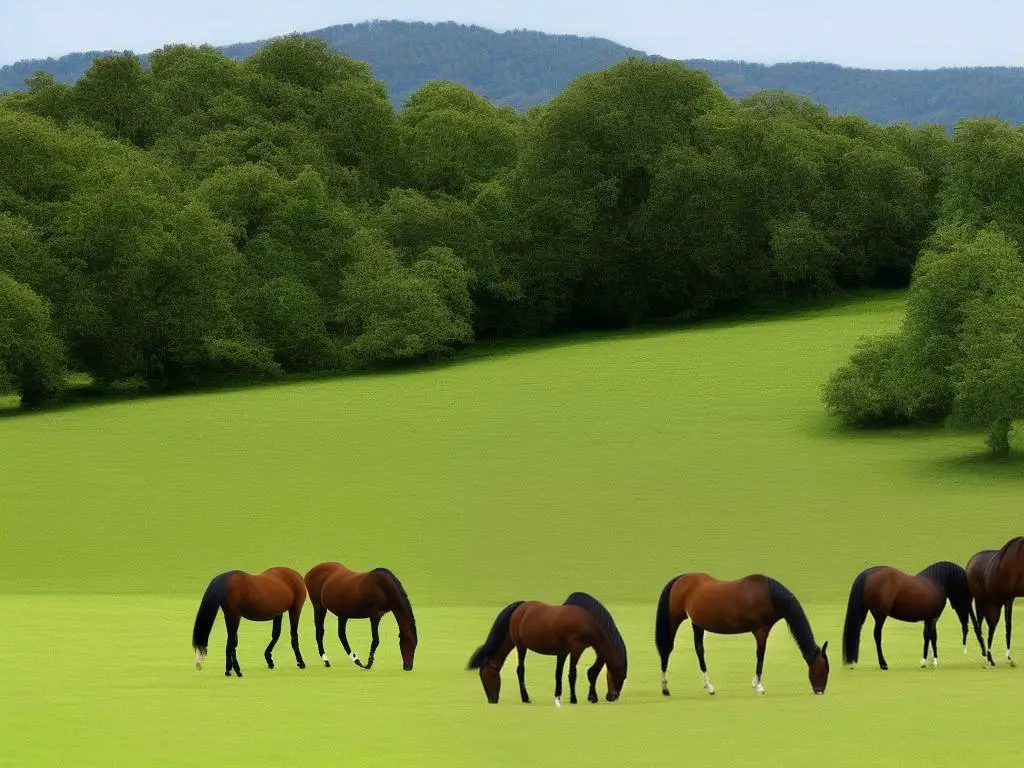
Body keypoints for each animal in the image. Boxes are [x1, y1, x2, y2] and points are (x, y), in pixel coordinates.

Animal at [468, 593, 626, 708]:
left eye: (623, 677)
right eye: (482, 676)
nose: (612, 697)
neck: (591, 624)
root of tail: (521, 607)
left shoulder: (564, 651)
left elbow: (559, 673)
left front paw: (559, 696)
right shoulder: (576, 649)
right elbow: (573, 673)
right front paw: (574, 699)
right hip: (520, 646)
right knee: (520, 670)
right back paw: (525, 698)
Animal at [655, 573, 831, 696]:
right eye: (823, 669)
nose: (820, 691)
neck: (770, 595)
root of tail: (680, 579)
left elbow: (760, 655)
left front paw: (755, 682)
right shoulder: (761, 630)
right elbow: (761, 655)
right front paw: (759, 686)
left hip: (697, 624)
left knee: (699, 651)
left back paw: (709, 687)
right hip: (674, 620)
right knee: (667, 649)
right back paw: (665, 689)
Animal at [839, 561, 983, 671]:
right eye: (965, 586)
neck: (937, 582)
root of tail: (866, 574)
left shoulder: (928, 619)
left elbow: (928, 637)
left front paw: (928, 661)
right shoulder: (933, 618)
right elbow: (932, 636)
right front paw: (930, 661)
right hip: (880, 615)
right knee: (877, 635)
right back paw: (883, 664)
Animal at [966, 536, 1024, 671]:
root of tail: (971, 562)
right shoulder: (1009, 598)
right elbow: (1008, 627)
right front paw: (1009, 659)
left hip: (993, 604)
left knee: (988, 627)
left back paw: (990, 658)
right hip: (983, 602)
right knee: (980, 626)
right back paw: (989, 658)